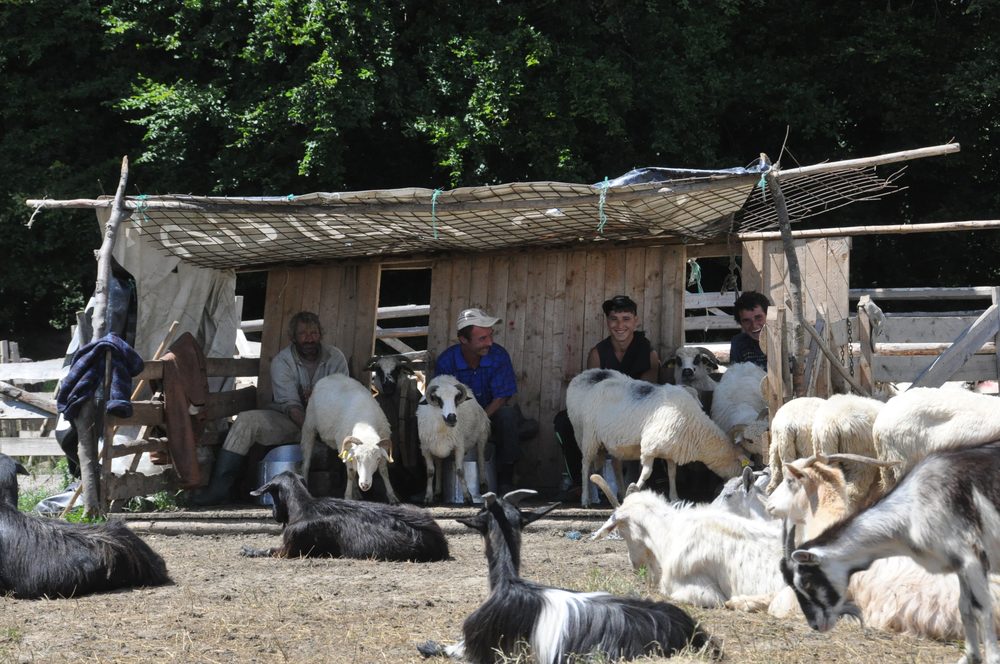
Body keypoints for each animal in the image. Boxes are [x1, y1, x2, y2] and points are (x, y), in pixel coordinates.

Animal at [242, 471, 449, 561]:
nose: (274, 513)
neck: (305, 506)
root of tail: (441, 543)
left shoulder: (291, 547)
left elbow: (270, 550)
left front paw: (249, 550)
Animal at [300, 374, 399, 503]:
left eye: (377, 459)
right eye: (358, 458)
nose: (365, 485)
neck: (365, 424)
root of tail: (330, 376)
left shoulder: (383, 445)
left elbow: (383, 471)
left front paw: (392, 496)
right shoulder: (346, 448)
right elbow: (351, 474)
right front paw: (348, 496)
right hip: (309, 425)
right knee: (306, 461)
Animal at [416, 374, 490, 505]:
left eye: (456, 399)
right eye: (438, 399)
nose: (451, 418)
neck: (441, 427)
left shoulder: (459, 446)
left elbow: (460, 471)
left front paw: (467, 497)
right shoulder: (426, 449)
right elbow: (430, 472)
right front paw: (428, 497)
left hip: (482, 434)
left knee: (481, 458)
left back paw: (483, 484)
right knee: (439, 465)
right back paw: (438, 492)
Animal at [566, 368, 748, 506]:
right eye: (739, 462)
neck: (696, 428)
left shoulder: (672, 450)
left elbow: (672, 473)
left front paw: (674, 497)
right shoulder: (649, 448)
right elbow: (647, 473)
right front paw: (636, 488)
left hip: (610, 443)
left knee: (614, 465)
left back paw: (617, 492)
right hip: (588, 436)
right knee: (585, 466)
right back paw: (586, 499)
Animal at [782, 440, 1000, 663]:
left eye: (806, 582)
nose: (816, 625)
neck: (910, 512)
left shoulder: (972, 558)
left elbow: (983, 609)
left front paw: (992, 658)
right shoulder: (959, 565)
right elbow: (965, 608)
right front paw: (971, 657)